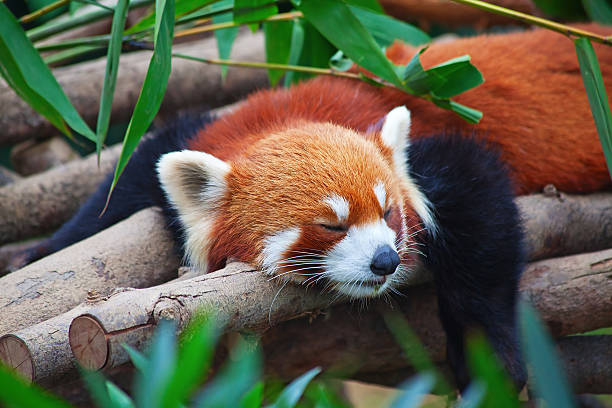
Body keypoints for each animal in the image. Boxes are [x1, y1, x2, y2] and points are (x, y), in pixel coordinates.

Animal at [11, 23, 608, 390]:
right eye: (330, 225)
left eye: (388, 214)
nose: (385, 261)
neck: (291, 115)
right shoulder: (209, 129)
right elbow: (123, 184)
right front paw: (38, 253)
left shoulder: (440, 153)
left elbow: (481, 221)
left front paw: (489, 357)